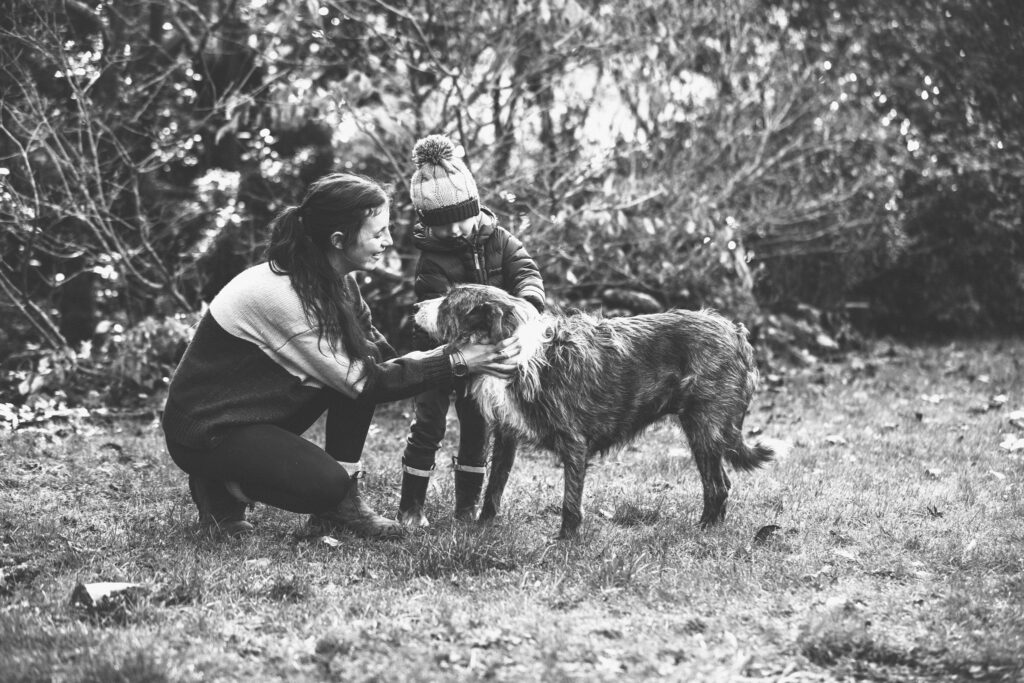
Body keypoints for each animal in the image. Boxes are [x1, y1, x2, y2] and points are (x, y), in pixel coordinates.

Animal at [411, 282, 778, 540]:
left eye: (448, 302)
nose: (414, 305)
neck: (520, 349)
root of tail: (735, 331)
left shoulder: (574, 442)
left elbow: (570, 500)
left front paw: (565, 540)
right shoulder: (507, 434)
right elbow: (494, 486)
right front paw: (483, 527)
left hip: (706, 426)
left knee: (717, 485)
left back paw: (703, 531)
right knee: (720, 482)